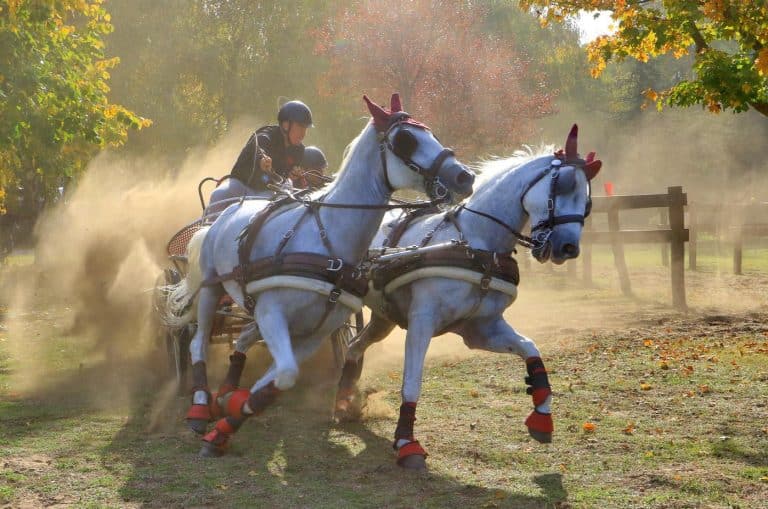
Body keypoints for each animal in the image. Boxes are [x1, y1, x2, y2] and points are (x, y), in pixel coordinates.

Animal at [162, 95, 474, 456]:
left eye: (430, 132)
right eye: (406, 140)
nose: (464, 177)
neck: (327, 239)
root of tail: (227, 211)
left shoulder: (314, 331)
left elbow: (277, 380)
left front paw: (232, 415)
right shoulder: (272, 313)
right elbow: (283, 374)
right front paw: (222, 425)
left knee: (241, 339)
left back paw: (226, 392)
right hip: (211, 292)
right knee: (197, 342)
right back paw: (199, 405)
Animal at [332, 123, 604, 468]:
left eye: (588, 202)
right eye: (566, 184)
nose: (568, 248)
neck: (476, 244)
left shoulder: (480, 328)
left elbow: (531, 349)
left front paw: (542, 415)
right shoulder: (422, 322)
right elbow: (412, 382)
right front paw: (406, 441)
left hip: (383, 317)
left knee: (354, 346)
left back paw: (344, 402)